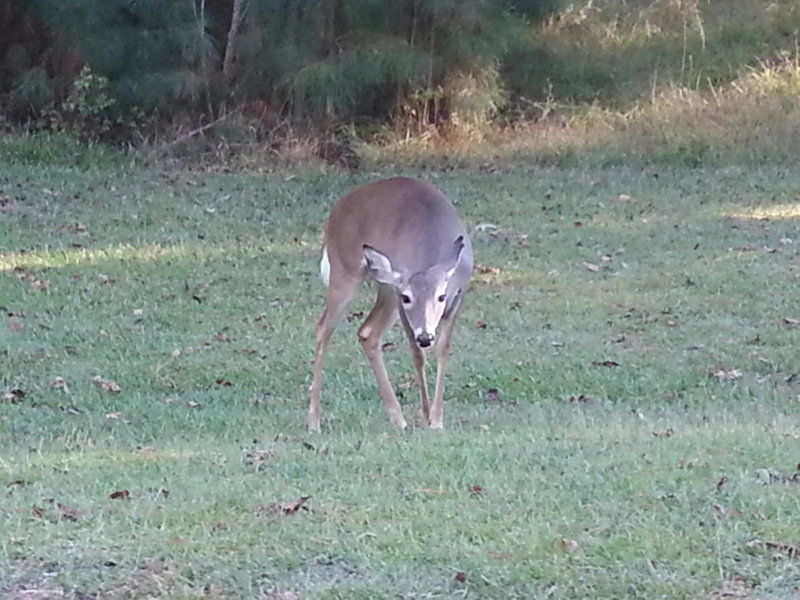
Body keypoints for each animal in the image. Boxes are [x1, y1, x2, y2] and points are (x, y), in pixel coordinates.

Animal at [308, 177, 472, 432]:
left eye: (441, 296)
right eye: (407, 297)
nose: (425, 336)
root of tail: (338, 207)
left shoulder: (459, 296)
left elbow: (443, 349)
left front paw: (435, 419)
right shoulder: (400, 299)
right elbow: (418, 355)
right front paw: (428, 415)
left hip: (384, 286)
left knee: (367, 331)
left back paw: (397, 417)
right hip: (345, 270)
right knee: (323, 328)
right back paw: (314, 421)